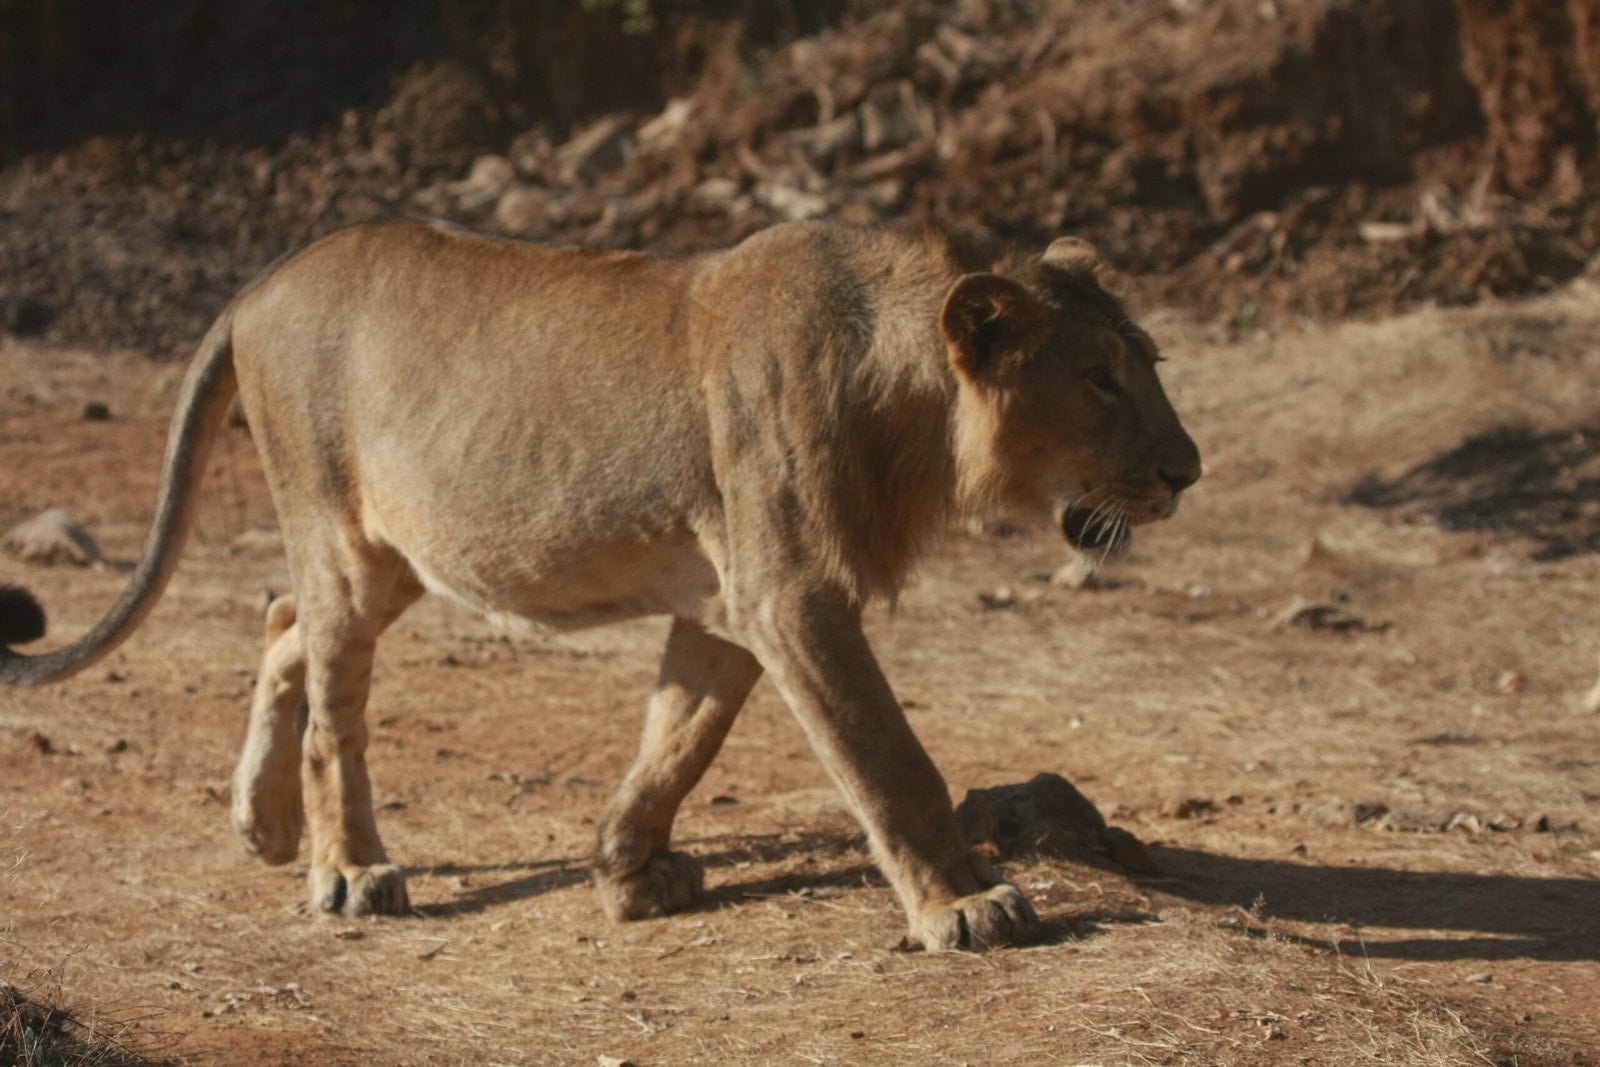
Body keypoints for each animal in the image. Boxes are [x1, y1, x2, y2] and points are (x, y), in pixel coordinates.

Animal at [1, 220, 1200, 950]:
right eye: (1099, 379)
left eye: (1151, 362)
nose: (1188, 469)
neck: (907, 403)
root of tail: (261, 280)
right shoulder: (791, 593)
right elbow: (887, 758)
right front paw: (967, 902)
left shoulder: (730, 603)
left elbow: (677, 741)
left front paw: (626, 873)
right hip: (342, 534)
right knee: (334, 710)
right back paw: (348, 870)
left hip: (394, 555)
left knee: (282, 614)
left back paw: (262, 823)